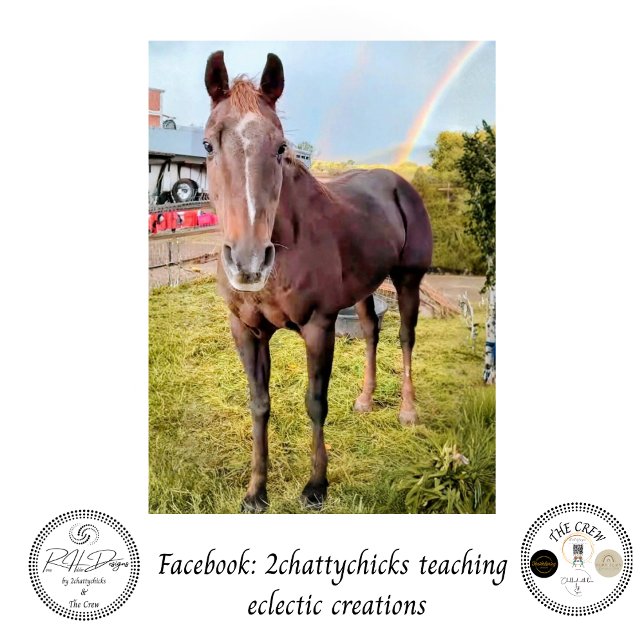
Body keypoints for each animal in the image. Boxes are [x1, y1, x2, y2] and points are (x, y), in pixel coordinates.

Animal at [203, 51, 432, 511]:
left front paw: (316, 485)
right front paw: (256, 492)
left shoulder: (318, 326)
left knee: (405, 338)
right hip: (364, 288)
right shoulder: (246, 329)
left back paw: (407, 411)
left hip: (408, 280)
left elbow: (315, 403)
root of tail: (398, 182)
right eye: (208, 145)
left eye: (280, 147)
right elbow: (259, 404)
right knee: (371, 331)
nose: (249, 262)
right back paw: (364, 400)